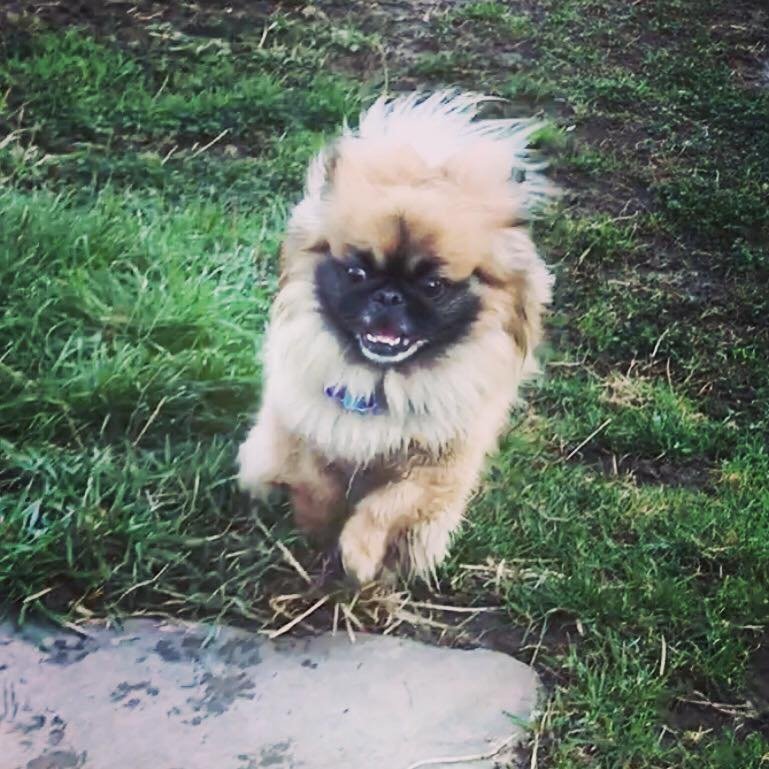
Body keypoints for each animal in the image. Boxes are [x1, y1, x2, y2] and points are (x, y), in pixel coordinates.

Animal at [238, 90, 552, 584]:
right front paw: (318, 528)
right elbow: (318, 486)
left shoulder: (434, 472)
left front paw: (358, 555)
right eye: (356, 272)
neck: (380, 383)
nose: (389, 295)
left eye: (433, 286)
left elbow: (385, 506)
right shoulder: (306, 435)